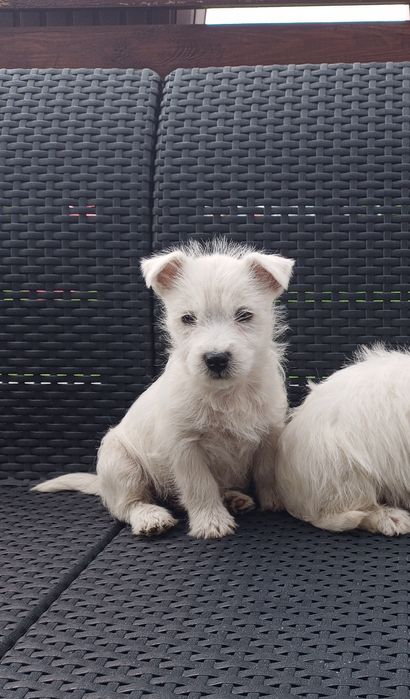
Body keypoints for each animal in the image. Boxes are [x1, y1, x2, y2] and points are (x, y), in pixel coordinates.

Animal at [33, 242, 294, 540]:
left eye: (245, 315)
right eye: (188, 318)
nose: (216, 359)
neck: (227, 394)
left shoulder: (269, 434)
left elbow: (266, 472)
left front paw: (275, 501)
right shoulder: (185, 446)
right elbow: (200, 485)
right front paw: (211, 522)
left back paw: (233, 498)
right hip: (121, 464)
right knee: (128, 504)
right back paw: (151, 517)